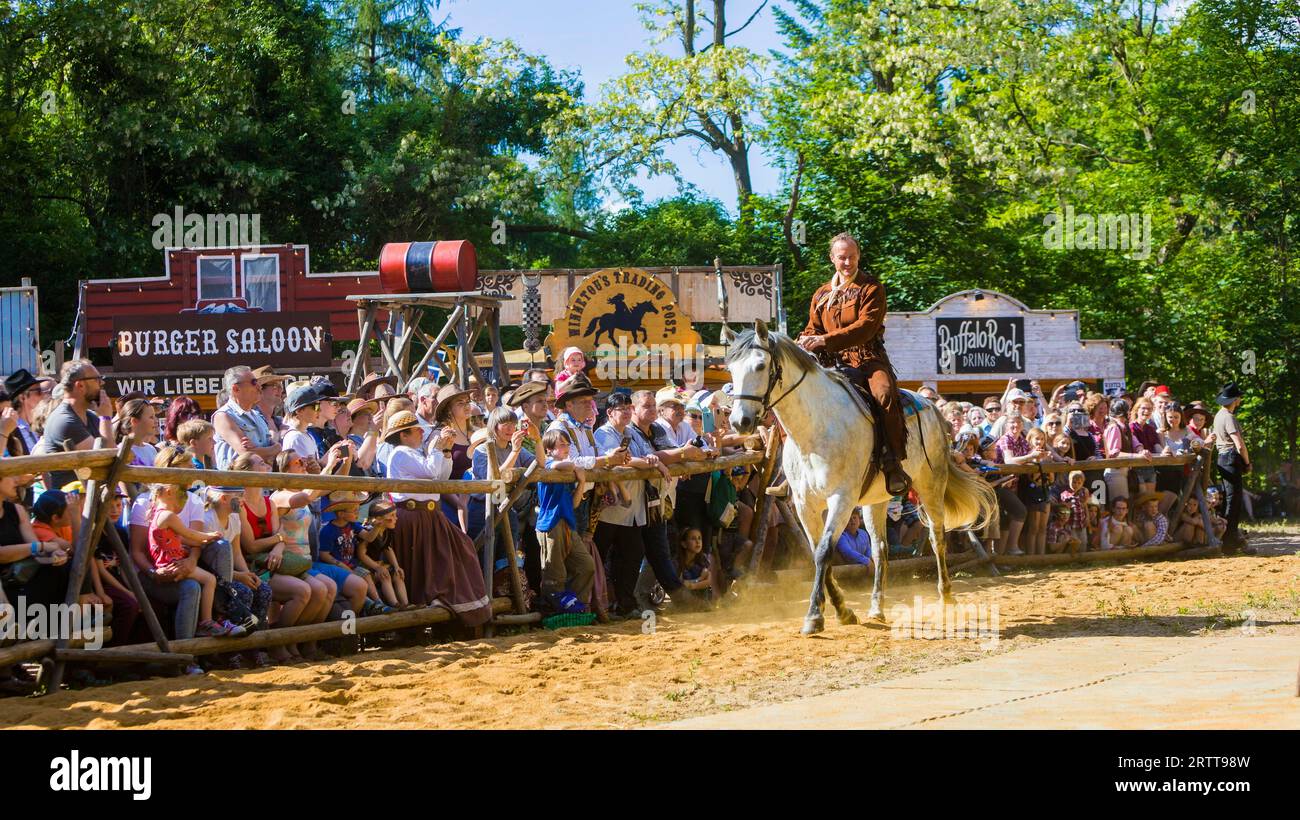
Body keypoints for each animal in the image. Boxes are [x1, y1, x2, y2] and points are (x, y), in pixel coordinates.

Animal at [728, 319, 987, 634]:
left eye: (760, 365)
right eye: (731, 369)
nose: (739, 422)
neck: (816, 428)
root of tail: (932, 408)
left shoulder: (842, 499)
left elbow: (824, 552)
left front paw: (815, 615)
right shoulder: (804, 505)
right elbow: (817, 552)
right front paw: (843, 610)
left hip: (931, 487)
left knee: (937, 538)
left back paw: (946, 597)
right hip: (876, 501)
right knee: (880, 550)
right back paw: (876, 608)